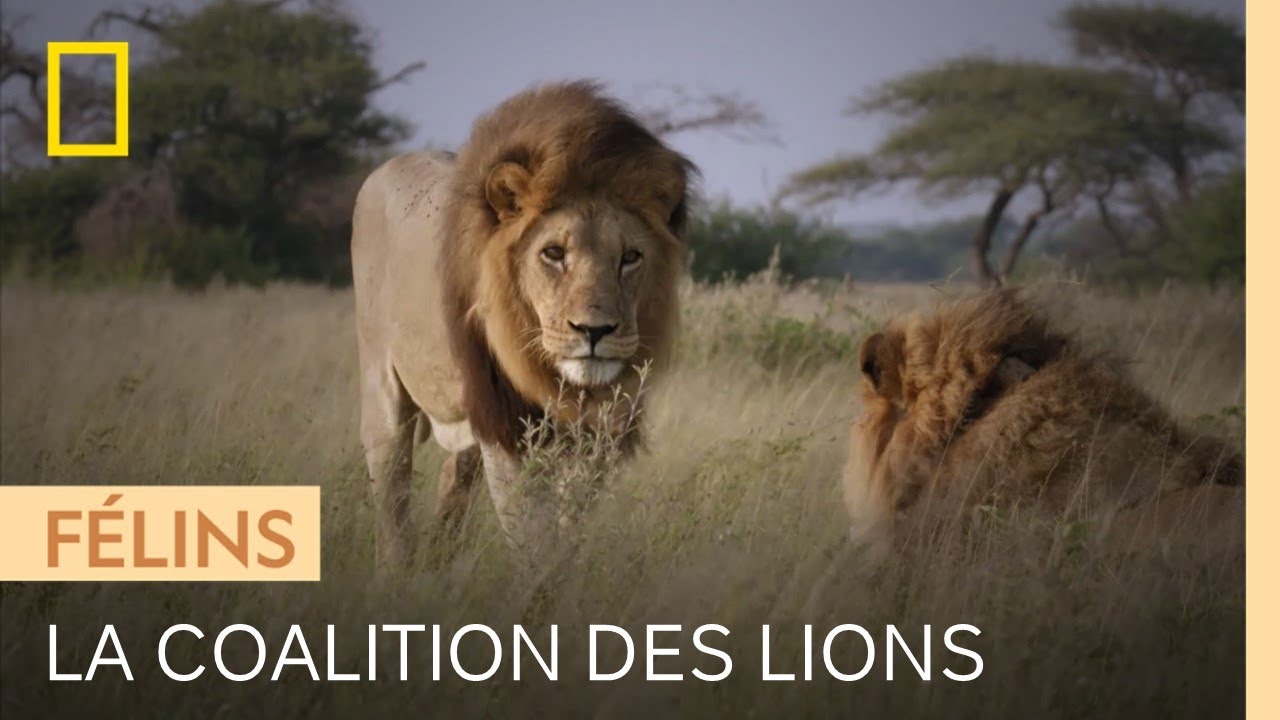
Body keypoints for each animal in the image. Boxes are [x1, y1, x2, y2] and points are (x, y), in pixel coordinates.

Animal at [351, 81, 695, 568]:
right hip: (383, 387)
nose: (594, 331)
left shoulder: (600, 436)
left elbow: (568, 531)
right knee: (392, 499)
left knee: (454, 485)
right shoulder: (506, 426)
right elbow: (532, 536)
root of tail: (386, 166)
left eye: (630, 257)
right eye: (553, 253)